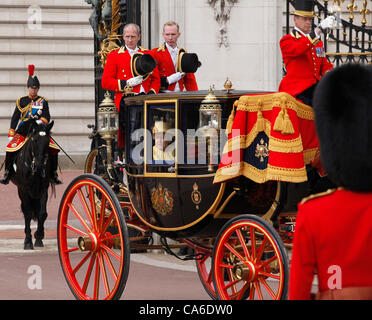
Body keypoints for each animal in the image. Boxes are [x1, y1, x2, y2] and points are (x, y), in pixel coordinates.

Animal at [10, 120, 55, 250]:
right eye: (34, 140)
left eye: (47, 141)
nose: (40, 166)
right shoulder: (24, 189)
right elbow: (28, 213)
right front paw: (28, 241)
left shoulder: (44, 188)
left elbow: (42, 213)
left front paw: (39, 236)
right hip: (21, 190)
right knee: (26, 210)